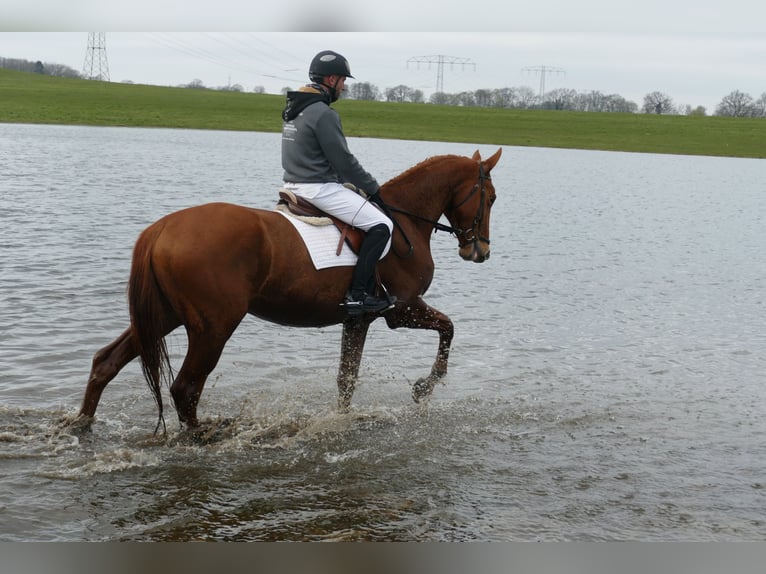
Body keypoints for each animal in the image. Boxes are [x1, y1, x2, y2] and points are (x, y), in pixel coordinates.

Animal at [74, 148, 503, 432]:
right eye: (492, 197)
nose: (479, 250)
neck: (402, 222)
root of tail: (162, 228)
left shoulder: (359, 319)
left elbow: (347, 377)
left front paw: (342, 418)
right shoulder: (401, 309)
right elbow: (448, 328)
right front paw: (423, 387)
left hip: (163, 316)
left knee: (106, 362)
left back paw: (82, 426)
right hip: (212, 328)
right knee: (185, 387)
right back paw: (199, 438)